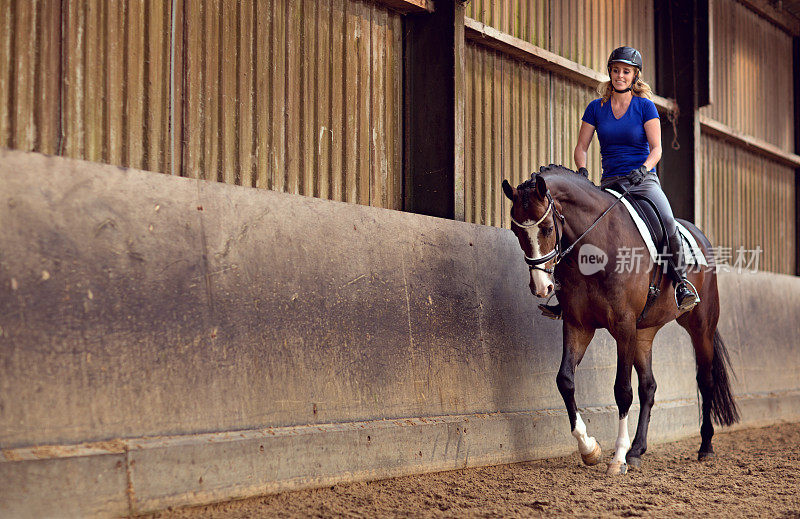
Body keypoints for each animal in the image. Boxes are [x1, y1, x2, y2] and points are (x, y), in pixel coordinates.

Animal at [504, 166, 740, 476]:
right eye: (516, 231)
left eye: (546, 229)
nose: (541, 287)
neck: (596, 248)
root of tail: (699, 235)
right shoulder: (579, 326)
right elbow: (565, 380)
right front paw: (590, 449)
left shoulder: (623, 326)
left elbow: (622, 391)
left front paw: (617, 458)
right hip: (644, 333)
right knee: (649, 387)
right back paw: (637, 450)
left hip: (700, 326)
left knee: (705, 380)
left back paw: (705, 447)